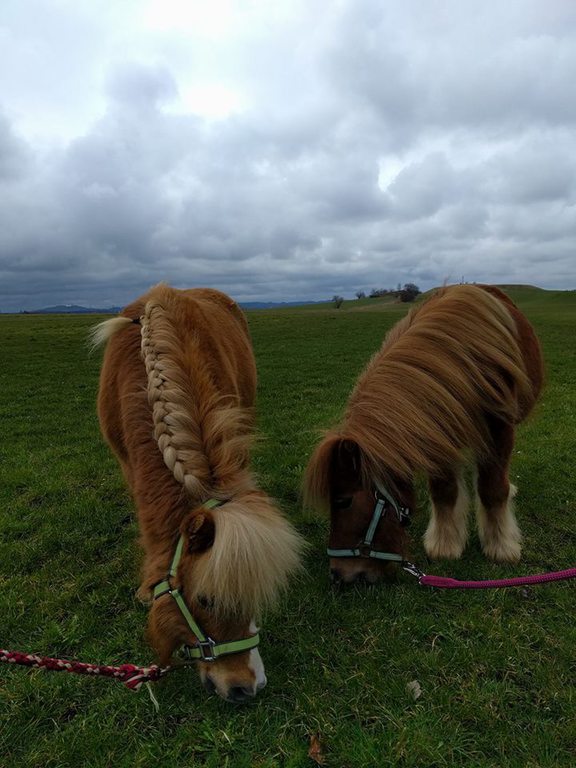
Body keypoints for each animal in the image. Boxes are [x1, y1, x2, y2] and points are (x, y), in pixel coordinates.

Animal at [304, 285, 544, 585]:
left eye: (343, 501)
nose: (338, 574)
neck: (461, 365)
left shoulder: (499, 430)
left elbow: (492, 489)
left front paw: (501, 546)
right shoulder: (438, 433)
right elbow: (444, 491)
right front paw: (445, 544)